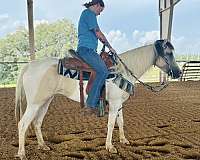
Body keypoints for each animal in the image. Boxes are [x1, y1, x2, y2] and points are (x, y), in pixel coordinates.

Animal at [14, 39, 182, 159]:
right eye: (169, 53)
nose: (178, 73)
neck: (122, 71)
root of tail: (29, 66)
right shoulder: (114, 104)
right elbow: (111, 124)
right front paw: (110, 147)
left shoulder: (119, 104)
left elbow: (121, 122)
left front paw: (124, 140)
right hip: (34, 104)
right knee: (23, 124)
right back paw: (22, 153)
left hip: (45, 102)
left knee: (37, 122)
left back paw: (43, 146)